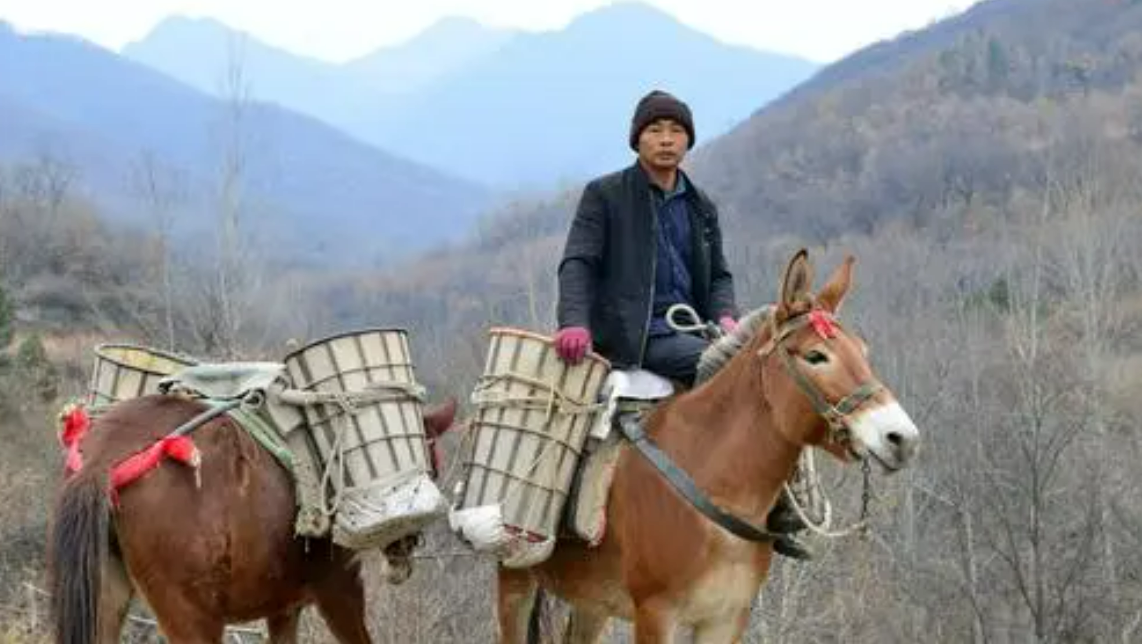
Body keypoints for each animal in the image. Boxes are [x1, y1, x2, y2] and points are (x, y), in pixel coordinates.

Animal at [47, 392, 459, 643]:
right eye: (432, 463)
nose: (404, 547)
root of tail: (102, 462)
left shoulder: (284, 608)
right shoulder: (339, 587)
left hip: (105, 594)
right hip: (190, 612)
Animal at [495, 251, 922, 643]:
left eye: (863, 352)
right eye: (816, 355)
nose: (902, 439)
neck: (711, 478)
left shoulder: (726, 618)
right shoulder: (656, 614)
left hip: (592, 601)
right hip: (515, 579)